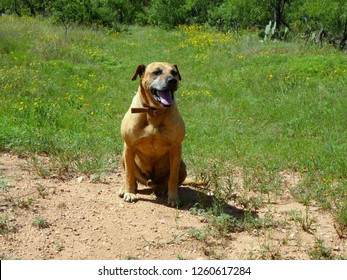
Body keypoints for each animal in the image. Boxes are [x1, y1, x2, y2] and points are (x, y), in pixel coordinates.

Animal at [118, 61, 186, 206]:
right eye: (156, 72)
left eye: (174, 72)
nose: (172, 81)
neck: (154, 112)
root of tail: (151, 183)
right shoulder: (129, 147)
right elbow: (129, 175)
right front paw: (129, 192)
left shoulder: (176, 149)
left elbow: (173, 178)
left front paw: (173, 198)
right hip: (124, 156)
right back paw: (125, 188)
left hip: (183, 166)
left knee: (166, 183)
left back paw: (161, 190)